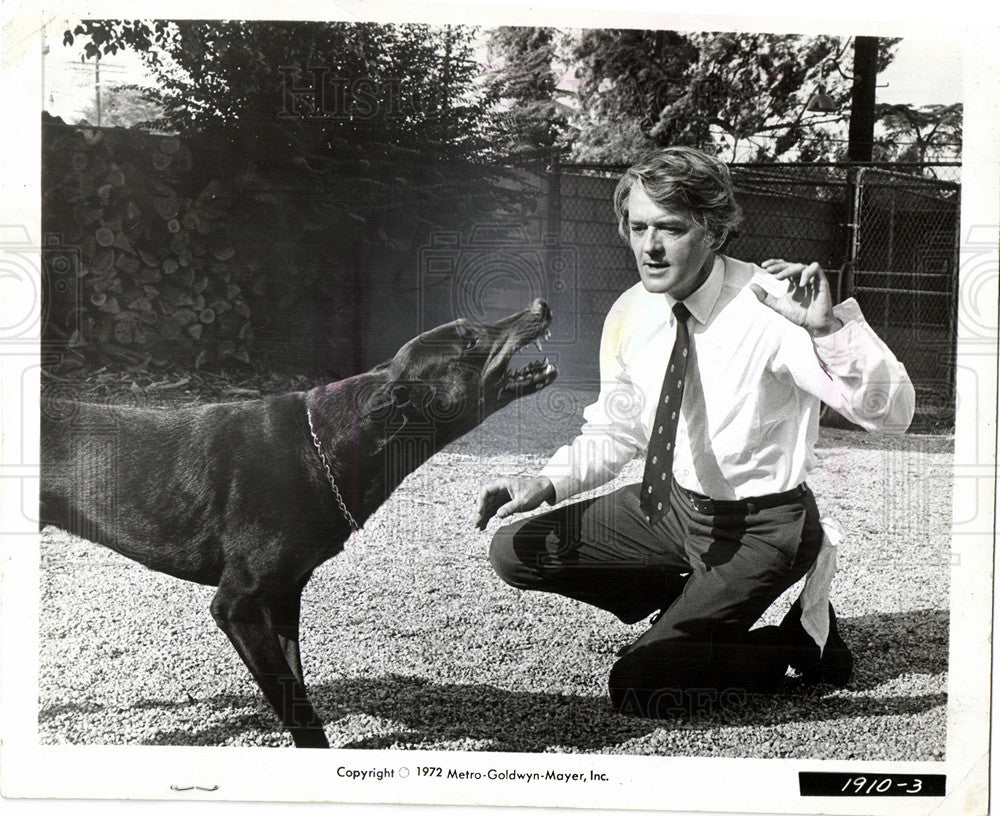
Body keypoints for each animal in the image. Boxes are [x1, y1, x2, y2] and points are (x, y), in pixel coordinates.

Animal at [41, 298, 556, 744]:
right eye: (468, 339)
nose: (541, 305)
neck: (321, 449)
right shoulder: (238, 604)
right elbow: (299, 710)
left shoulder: (284, 596)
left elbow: (296, 685)